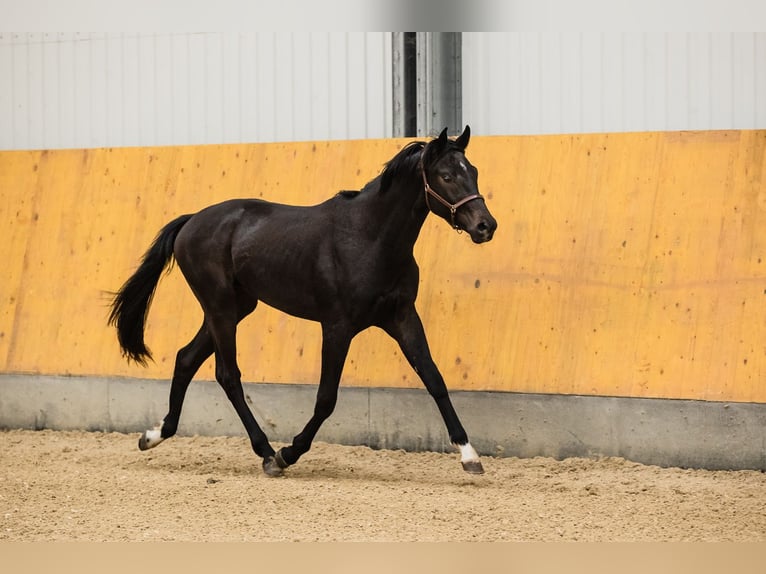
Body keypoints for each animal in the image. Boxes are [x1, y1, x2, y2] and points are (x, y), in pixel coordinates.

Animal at [111, 125, 500, 476]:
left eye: (474, 172)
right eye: (446, 175)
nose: (485, 226)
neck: (368, 237)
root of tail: (191, 221)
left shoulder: (402, 317)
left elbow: (434, 378)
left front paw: (469, 455)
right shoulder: (338, 327)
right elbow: (326, 398)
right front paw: (289, 453)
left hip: (236, 307)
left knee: (186, 358)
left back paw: (154, 435)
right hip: (220, 308)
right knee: (227, 374)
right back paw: (266, 453)